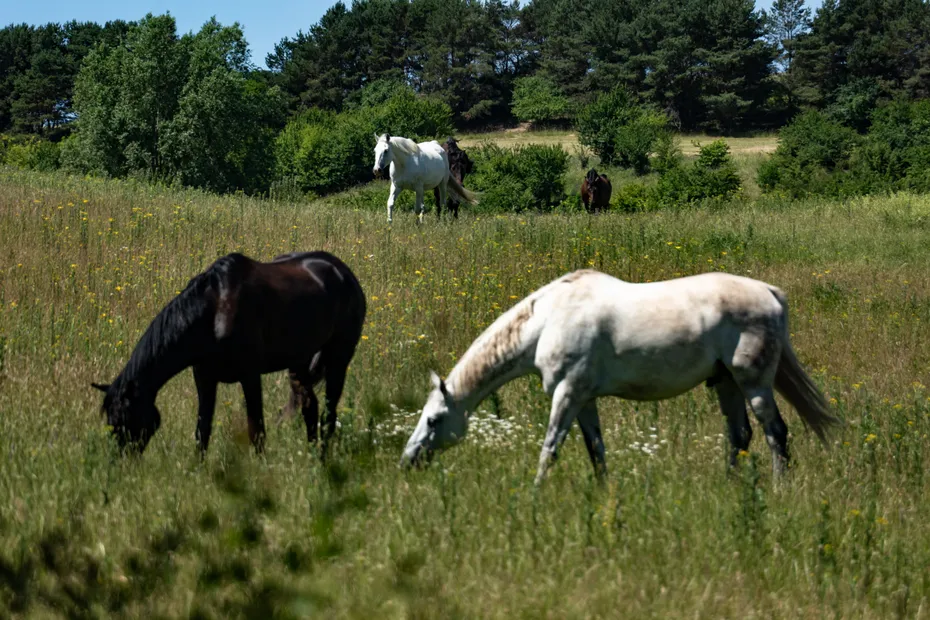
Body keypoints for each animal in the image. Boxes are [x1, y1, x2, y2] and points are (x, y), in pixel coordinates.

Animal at [92, 251, 367, 456]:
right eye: (111, 422)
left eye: (125, 420)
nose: (122, 461)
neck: (214, 313)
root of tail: (342, 271)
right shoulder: (204, 378)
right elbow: (202, 430)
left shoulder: (250, 376)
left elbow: (257, 430)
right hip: (298, 362)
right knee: (310, 407)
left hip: (339, 359)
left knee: (328, 414)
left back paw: (323, 460)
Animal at [402, 270, 839, 485]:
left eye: (435, 420)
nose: (408, 460)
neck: (546, 322)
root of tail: (770, 292)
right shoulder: (584, 399)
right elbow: (596, 450)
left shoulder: (567, 394)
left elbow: (550, 447)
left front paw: (535, 493)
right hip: (726, 383)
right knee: (740, 436)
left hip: (754, 383)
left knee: (775, 433)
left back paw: (779, 489)